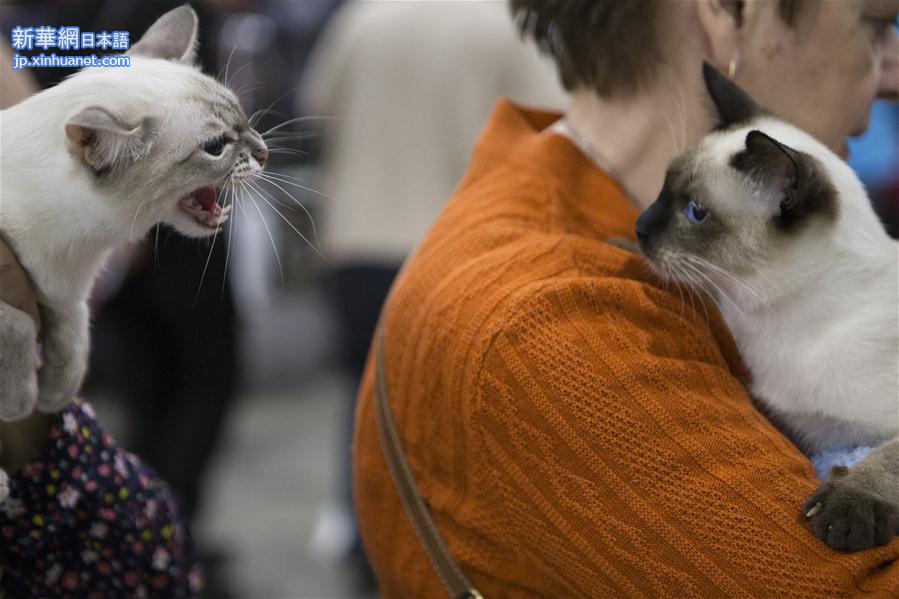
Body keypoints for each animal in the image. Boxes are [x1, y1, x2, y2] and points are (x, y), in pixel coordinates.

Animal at [0, 4, 268, 492]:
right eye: (216, 147)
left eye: (244, 120)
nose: (265, 153)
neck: (79, 248)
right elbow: (17, 324)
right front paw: (21, 398)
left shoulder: (65, 292)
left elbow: (75, 338)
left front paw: (52, 397)